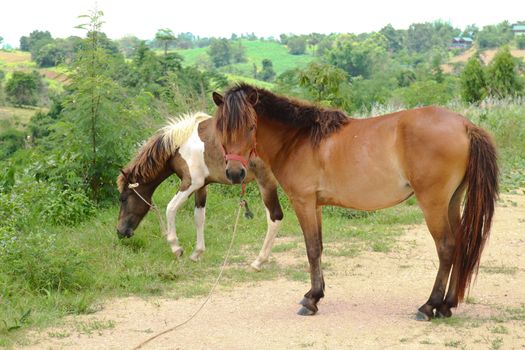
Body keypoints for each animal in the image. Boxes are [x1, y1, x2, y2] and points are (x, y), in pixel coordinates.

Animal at [117, 111, 284, 268]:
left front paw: (176, 248)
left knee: (275, 218)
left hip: (266, 183)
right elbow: (199, 217)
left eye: (123, 199)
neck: (180, 145)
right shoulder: (201, 186)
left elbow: (171, 208)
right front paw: (197, 253)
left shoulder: (190, 183)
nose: (120, 232)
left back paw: (259, 261)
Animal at [211, 85, 498, 320]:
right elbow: (319, 247)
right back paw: (447, 305)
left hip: (433, 204)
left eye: (251, 127)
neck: (297, 139)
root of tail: (465, 125)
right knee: (460, 243)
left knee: (446, 247)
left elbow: (311, 249)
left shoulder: (303, 201)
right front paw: (317, 294)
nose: (235, 173)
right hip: (452, 201)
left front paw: (310, 300)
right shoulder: (315, 205)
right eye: (222, 128)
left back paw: (429, 306)